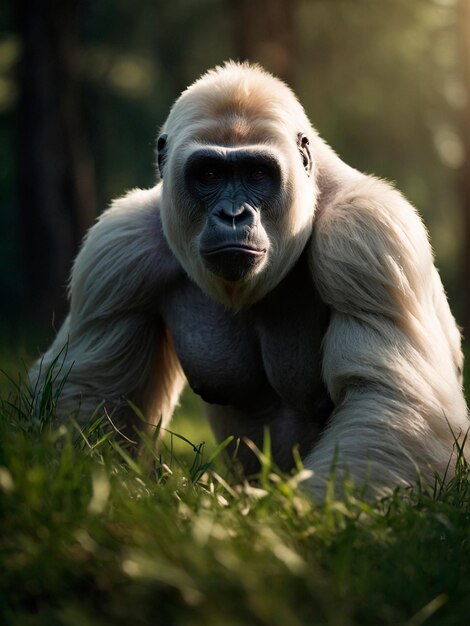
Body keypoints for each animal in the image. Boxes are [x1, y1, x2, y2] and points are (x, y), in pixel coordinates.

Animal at [31, 62, 468, 498]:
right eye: (209, 173)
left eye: (258, 173)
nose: (233, 214)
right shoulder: (118, 249)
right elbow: (91, 393)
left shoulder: (366, 236)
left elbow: (393, 400)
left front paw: (291, 513)